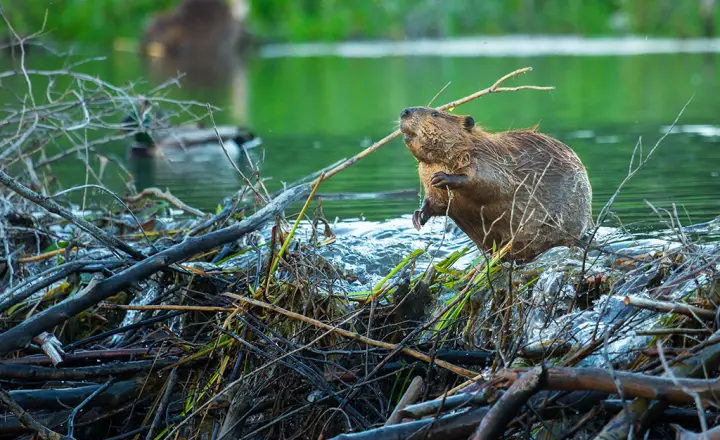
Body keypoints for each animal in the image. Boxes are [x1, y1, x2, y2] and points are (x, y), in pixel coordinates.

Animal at [400, 105, 592, 262]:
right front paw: (418, 216)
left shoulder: (488, 159)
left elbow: (490, 183)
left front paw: (442, 177)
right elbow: (436, 202)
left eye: (435, 113)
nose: (404, 112)